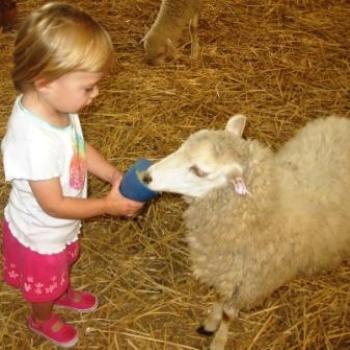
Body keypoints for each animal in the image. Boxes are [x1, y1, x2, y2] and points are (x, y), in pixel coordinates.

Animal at [142, 115, 350, 350]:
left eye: (199, 171)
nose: (146, 176)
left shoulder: (249, 281)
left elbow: (228, 314)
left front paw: (219, 339)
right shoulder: (226, 271)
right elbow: (221, 298)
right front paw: (211, 321)